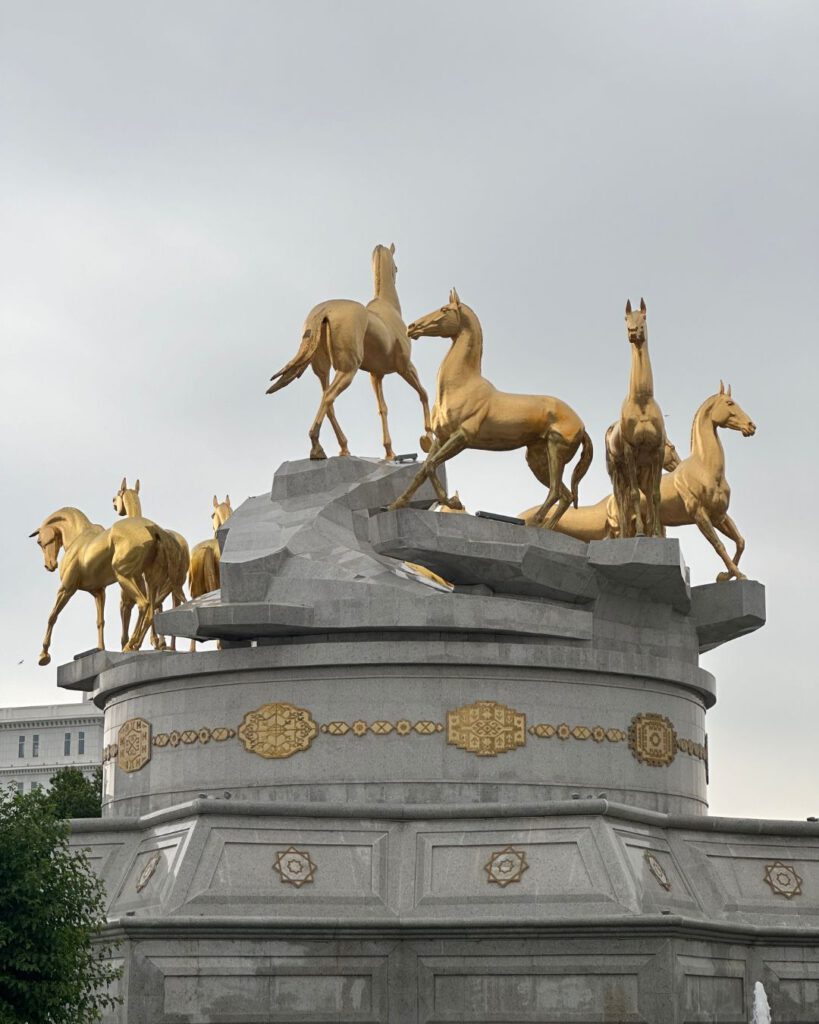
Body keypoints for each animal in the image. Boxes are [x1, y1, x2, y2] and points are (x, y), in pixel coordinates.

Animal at [268, 243, 434, 460]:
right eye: (396, 268)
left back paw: (342, 448)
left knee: (327, 400)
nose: (396, 273)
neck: (389, 309)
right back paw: (317, 446)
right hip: (348, 369)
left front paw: (389, 452)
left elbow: (382, 408)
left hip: (324, 370)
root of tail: (324, 311)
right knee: (329, 397)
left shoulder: (376, 374)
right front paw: (428, 439)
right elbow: (423, 393)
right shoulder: (405, 367)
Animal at [389, 290, 589, 524]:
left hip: (556, 451)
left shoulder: (462, 437)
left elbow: (430, 466)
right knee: (565, 495)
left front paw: (454, 503)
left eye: (444, 310)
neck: (460, 386)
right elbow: (421, 471)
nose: (411, 327)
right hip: (538, 458)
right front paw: (395, 505)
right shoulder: (442, 438)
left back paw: (535, 522)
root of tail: (582, 426)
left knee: (557, 491)